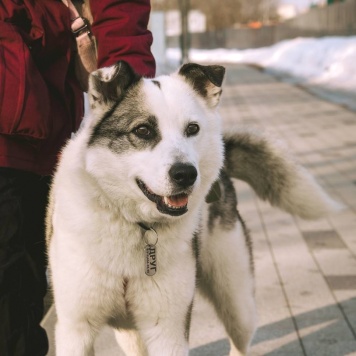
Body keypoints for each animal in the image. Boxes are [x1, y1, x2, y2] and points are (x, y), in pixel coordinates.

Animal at [46, 62, 340, 356]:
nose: (185, 174)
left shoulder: (168, 329)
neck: (136, 224)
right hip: (131, 334)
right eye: (143, 131)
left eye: (192, 128)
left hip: (237, 303)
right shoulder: (75, 329)